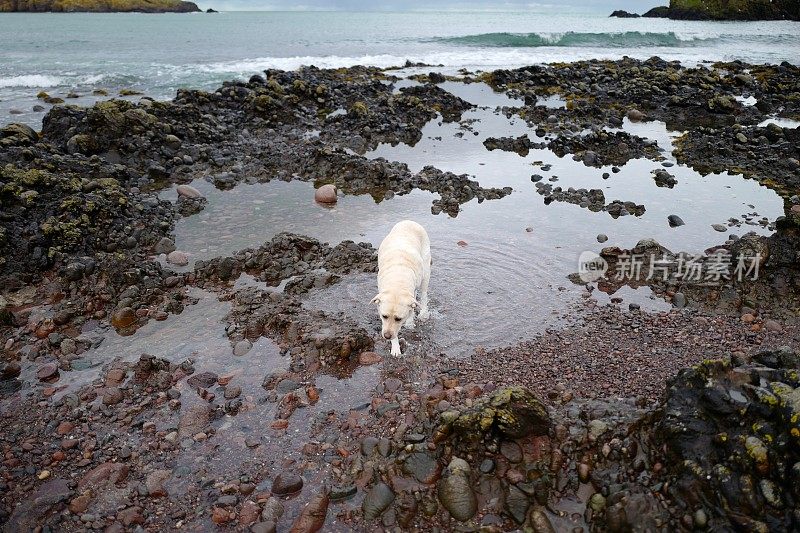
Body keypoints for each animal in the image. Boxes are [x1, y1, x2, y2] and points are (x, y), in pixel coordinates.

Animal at [370, 218, 432, 356]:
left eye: (398, 319)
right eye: (384, 316)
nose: (386, 336)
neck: (397, 281)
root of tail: (409, 221)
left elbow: (411, 310)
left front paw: (409, 323)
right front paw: (395, 347)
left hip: (426, 271)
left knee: (424, 294)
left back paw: (423, 313)